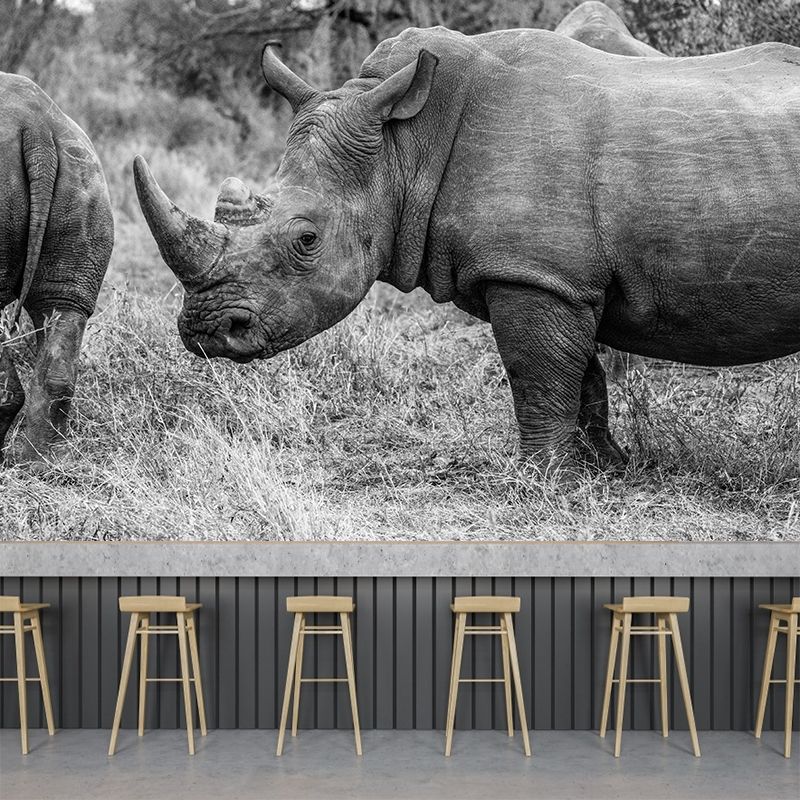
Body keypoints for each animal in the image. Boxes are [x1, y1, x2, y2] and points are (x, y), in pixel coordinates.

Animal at [135, 28, 800, 465]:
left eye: (306, 240)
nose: (207, 331)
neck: (404, 146)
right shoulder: (559, 277)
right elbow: (582, 376)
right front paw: (606, 467)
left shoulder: (532, 273)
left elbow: (537, 376)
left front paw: (540, 478)